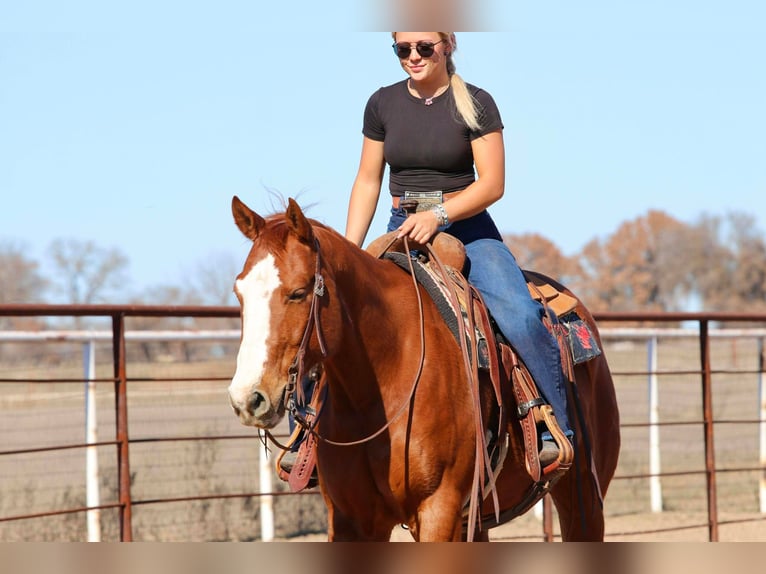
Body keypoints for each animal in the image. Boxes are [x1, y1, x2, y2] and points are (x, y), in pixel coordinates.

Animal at [227, 195, 620, 541]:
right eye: (238, 293)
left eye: (298, 292)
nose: (248, 398)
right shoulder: (350, 520)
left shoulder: (437, 509)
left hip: (584, 500)